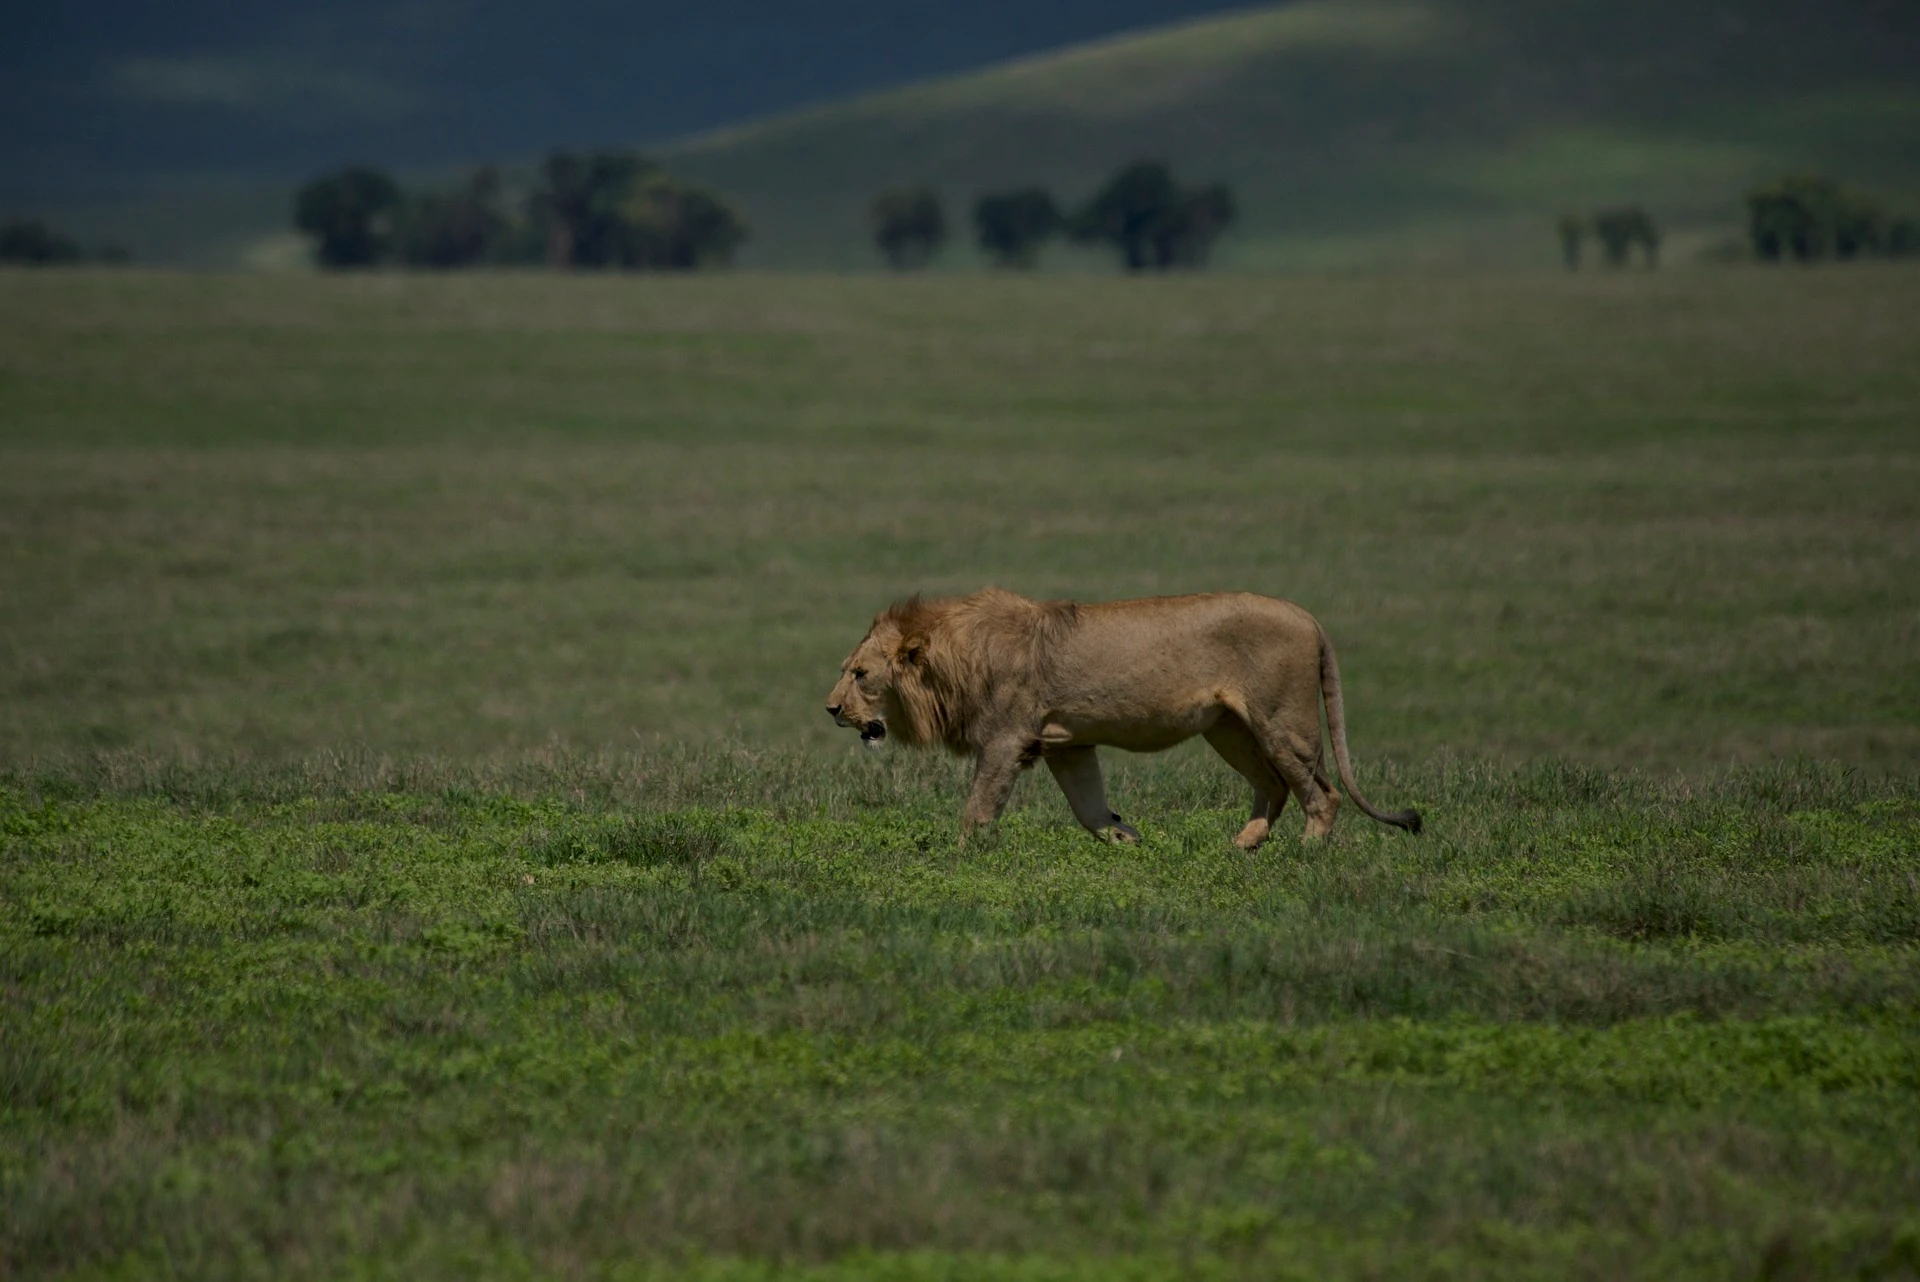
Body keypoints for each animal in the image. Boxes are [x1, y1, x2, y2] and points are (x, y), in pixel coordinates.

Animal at [817, 587, 1420, 844]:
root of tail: (1309, 617)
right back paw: (1243, 846)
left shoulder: (1007, 739)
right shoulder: (1066, 743)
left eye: (861, 674)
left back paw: (1304, 852)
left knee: (1323, 793)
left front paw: (959, 860)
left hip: (1280, 720)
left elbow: (978, 810)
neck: (952, 660)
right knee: (1272, 786)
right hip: (1229, 728)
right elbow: (1089, 808)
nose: (830, 709)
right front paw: (1126, 840)